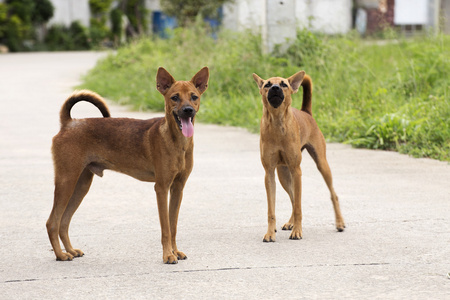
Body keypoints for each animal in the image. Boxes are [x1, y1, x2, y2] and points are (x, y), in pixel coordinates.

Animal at [46, 67, 208, 264]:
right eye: (174, 97)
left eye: (194, 96)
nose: (188, 110)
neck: (177, 141)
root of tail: (69, 123)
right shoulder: (161, 188)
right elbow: (165, 228)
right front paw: (168, 255)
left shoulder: (178, 188)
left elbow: (173, 226)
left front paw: (175, 251)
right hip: (66, 180)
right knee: (52, 222)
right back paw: (60, 255)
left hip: (81, 184)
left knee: (64, 221)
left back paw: (70, 250)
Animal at [253, 69, 344, 241]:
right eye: (267, 84)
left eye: (284, 84)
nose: (275, 88)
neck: (277, 123)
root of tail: (305, 112)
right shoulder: (269, 174)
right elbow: (272, 210)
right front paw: (270, 232)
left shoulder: (296, 170)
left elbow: (298, 207)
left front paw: (297, 231)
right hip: (283, 174)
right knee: (293, 198)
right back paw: (290, 223)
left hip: (321, 164)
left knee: (332, 195)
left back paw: (339, 222)